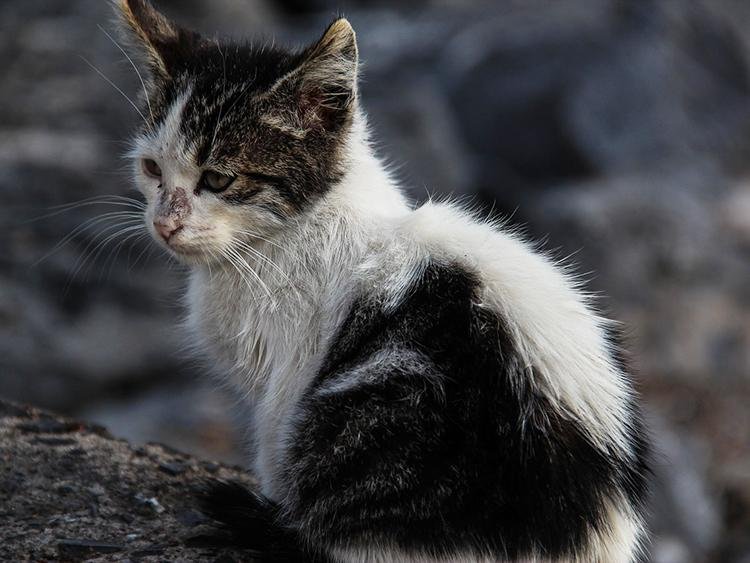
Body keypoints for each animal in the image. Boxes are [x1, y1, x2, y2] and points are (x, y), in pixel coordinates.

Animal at [114, 2, 648, 560]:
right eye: (151, 168)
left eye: (218, 179)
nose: (165, 223)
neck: (299, 229)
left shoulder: (287, 378)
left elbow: (274, 439)